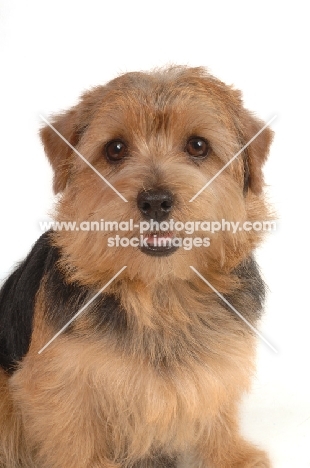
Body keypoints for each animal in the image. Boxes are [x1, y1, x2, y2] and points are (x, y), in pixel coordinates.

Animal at [0, 66, 272, 468]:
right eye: (115, 149)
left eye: (198, 146)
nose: (155, 201)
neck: (160, 294)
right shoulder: (59, 382)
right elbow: (74, 437)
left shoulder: (216, 367)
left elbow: (213, 413)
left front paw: (229, 455)